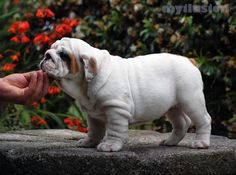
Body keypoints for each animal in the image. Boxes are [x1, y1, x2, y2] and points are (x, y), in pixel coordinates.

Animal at [39, 37, 211, 152]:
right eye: (51, 48)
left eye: (63, 55)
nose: (46, 54)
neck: (85, 85)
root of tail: (189, 60)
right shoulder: (93, 114)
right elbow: (94, 130)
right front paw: (89, 142)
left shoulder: (116, 110)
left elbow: (114, 131)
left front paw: (109, 145)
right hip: (173, 106)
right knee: (182, 122)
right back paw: (170, 141)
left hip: (191, 100)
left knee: (204, 120)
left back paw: (201, 143)